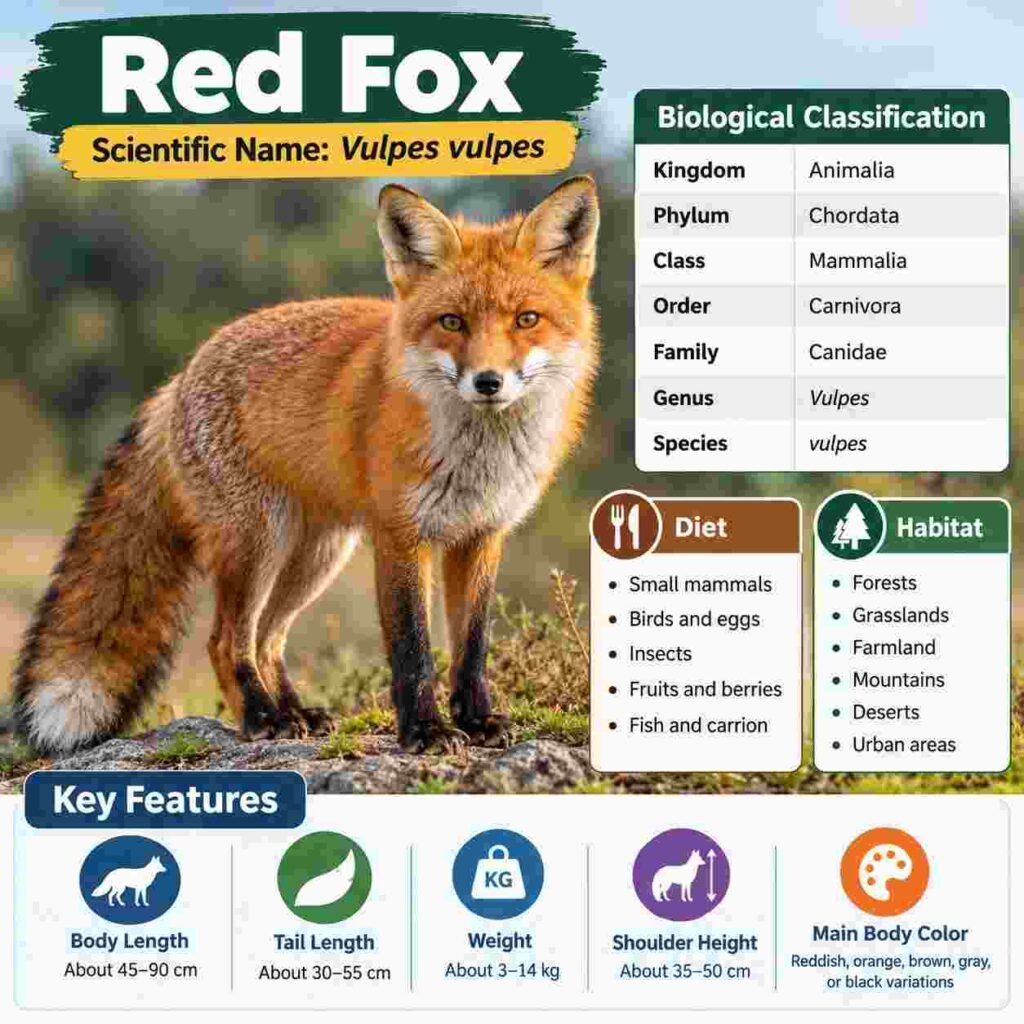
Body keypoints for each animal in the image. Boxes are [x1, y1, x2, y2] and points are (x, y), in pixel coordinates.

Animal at [13, 176, 600, 756]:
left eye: (526, 320)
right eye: (452, 322)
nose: (487, 382)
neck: (479, 461)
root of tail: (179, 378)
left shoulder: (482, 535)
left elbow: (471, 647)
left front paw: (477, 721)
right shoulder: (400, 535)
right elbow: (413, 650)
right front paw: (425, 731)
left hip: (318, 555)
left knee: (267, 638)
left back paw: (295, 712)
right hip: (258, 542)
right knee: (227, 640)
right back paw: (262, 718)